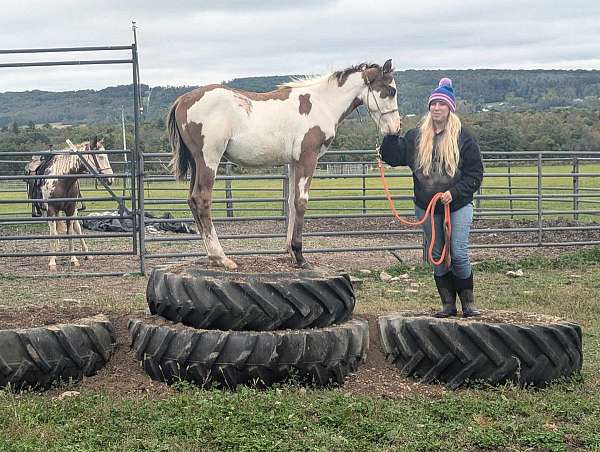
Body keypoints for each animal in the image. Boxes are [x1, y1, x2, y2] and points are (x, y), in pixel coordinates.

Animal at [40, 138, 115, 270]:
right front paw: (52, 262)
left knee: (77, 228)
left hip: (73, 211)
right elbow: (53, 234)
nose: (111, 179)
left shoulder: (70, 209)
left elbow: (70, 233)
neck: (61, 180)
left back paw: (86, 253)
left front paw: (73, 259)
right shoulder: (51, 210)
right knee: (53, 230)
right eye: (100, 156)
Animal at [169, 60, 400, 272]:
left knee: (192, 200)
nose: (395, 129)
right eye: (391, 91)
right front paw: (300, 256)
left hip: (196, 162)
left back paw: (212, 256)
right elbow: (301, 201)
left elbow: (291, 202)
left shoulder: (294, 162)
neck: (322, 103)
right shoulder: (308, 158)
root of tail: (182, 100)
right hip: (209, 159)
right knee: (202, 200)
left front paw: (290, 252)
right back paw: (222, 258)